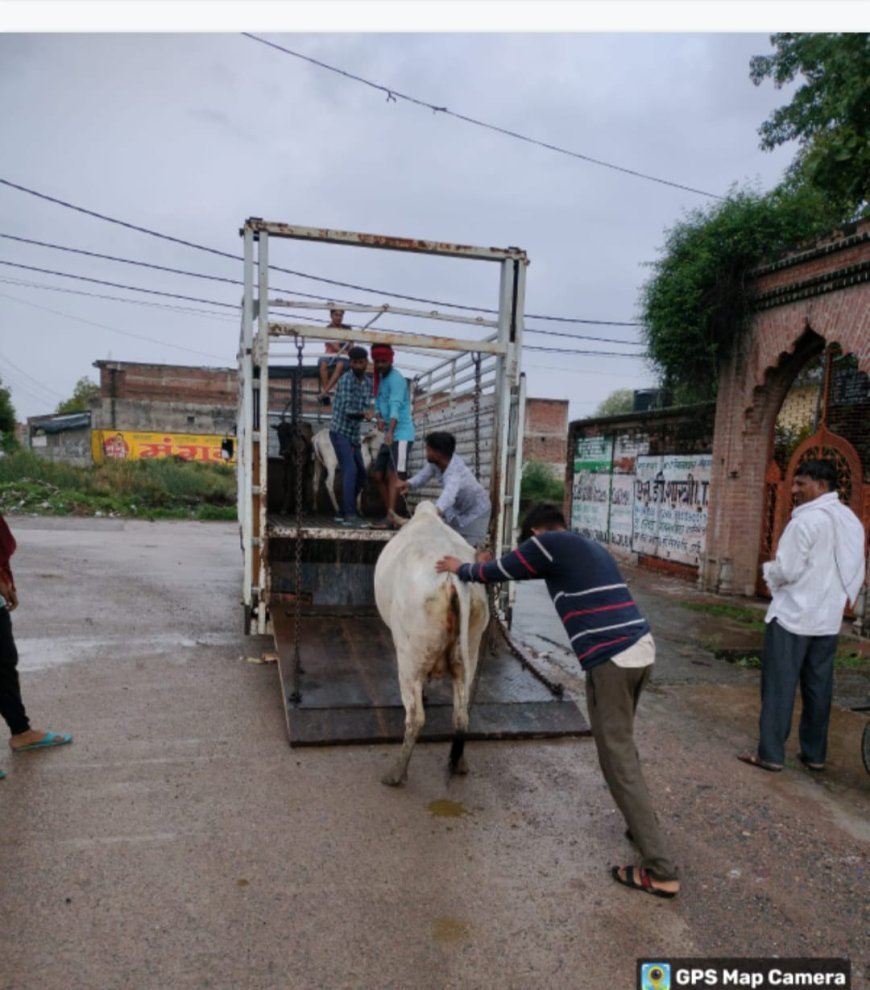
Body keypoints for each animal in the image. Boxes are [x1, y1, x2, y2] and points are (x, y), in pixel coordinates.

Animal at [372, 504, 490, 792]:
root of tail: (453, 578)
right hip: (469, 650)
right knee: (461, 714)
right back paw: (459, 763)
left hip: (409, 658)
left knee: (415, 718)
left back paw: (396, 773)